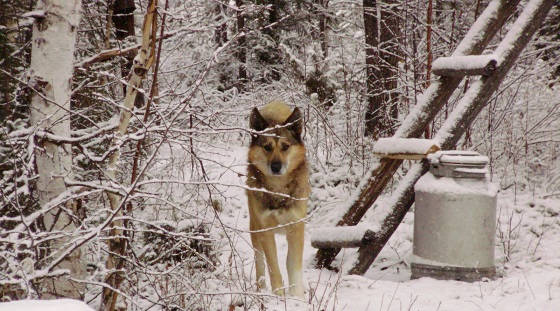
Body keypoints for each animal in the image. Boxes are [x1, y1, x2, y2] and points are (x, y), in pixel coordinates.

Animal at [246, 101, 310, 298]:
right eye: (267, 147)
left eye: (285, 146)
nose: (276, 166)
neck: (279, 190)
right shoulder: (266, 229)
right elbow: (273, 267)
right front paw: (279, 296)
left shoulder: (296, 228)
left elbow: (293, 266)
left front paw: (297, 298)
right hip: (255, 228)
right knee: (259, 262)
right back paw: (260, 289)